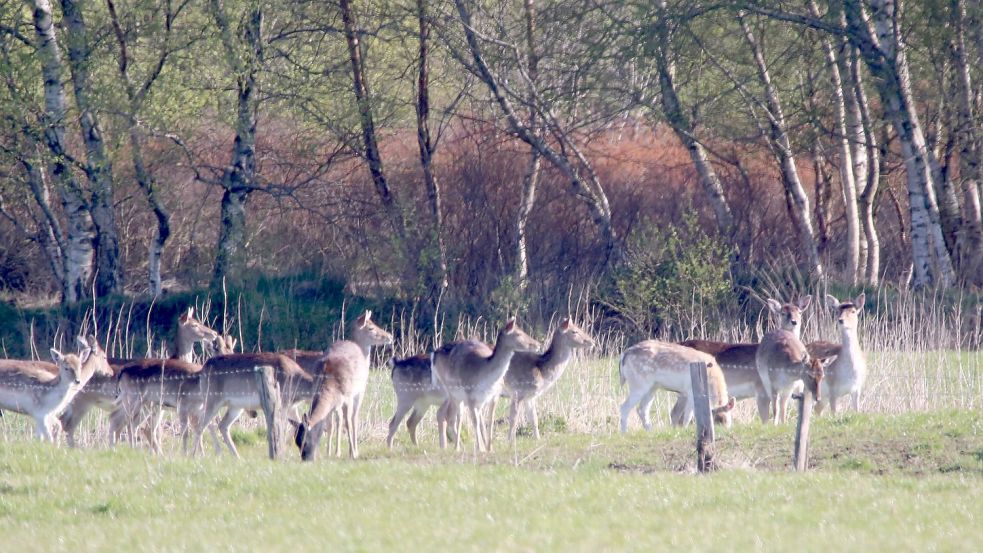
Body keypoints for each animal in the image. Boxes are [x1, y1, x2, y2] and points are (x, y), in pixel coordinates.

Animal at [294, 308, 394, 460]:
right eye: (297, 442)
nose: (390, 336)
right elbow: (330, 423)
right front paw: (330, 452)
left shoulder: (349, 396)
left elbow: (347, 421)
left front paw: (351, 453)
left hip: (360, 391)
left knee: (353, 418)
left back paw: (354, 450)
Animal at [432, 320, 540, 452]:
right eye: (518, 333)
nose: (538, 344)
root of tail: (434, 354)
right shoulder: (470, 396)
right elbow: (475, 421)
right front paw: (481, 449)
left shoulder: (494, 396)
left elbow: (490, 421)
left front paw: (489, 448)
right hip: (451, 392)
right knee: (454, 416)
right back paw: (457, 447)